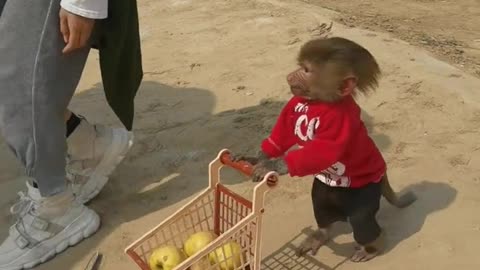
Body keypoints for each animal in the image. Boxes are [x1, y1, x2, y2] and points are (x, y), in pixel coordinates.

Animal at [232, 37, 416, 262]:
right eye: (300, 66)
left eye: (306, 70)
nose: (289, 75)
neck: (320, 103)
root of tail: (382, 174)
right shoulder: (296, 101)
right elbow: (283, 133)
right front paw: (258, 158)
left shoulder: (341, 121)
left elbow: (324, 151)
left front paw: (273, 165)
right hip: (327, 190)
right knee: (321, 204)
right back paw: (322, 233)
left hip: (366, 191)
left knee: (361, 219)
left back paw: (374, 246)